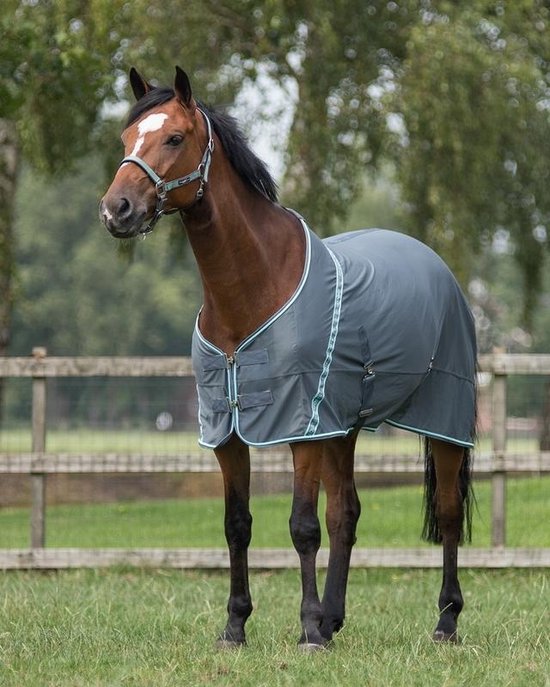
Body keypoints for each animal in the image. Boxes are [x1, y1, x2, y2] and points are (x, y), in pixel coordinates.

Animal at [100, 66, 476, 650]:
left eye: (175, 138)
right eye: (125, 139)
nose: (116, 210)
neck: (254, 289)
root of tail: (438, 265)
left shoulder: (302, 427)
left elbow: (302, 526)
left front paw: (308, 632)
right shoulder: (229, 431)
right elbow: (238, 525)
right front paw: (236, 627)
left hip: (442, 418)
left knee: (448, 513)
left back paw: (445, 621)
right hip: (343, 427)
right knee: (347, 513)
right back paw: (336, 617)